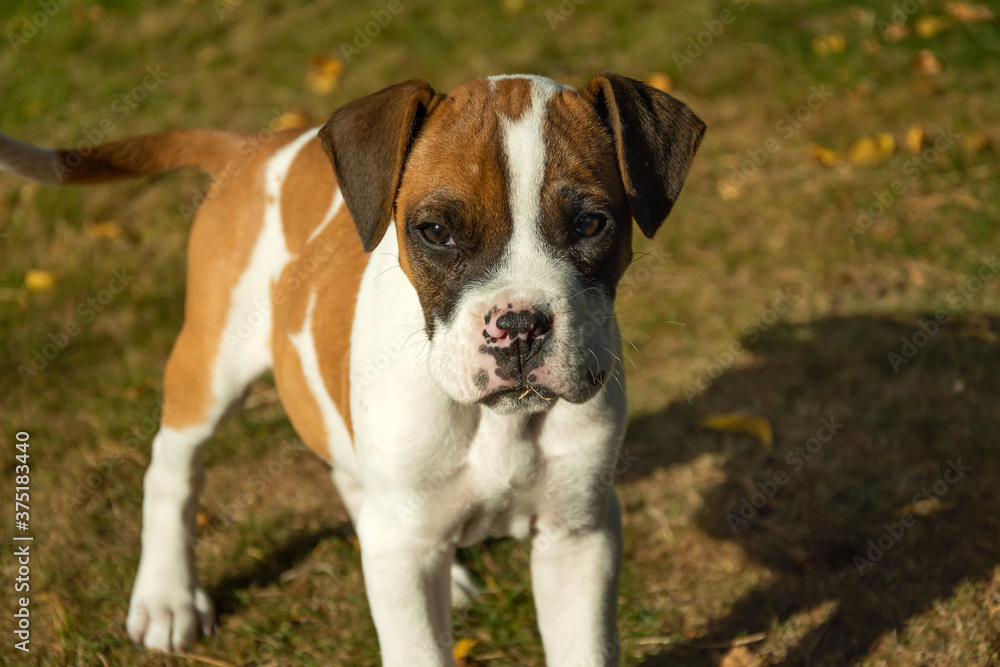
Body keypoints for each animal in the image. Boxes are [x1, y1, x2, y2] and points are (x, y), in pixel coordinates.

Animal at [0, 70, 704, 664]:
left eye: (590, 223)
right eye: (436, 232)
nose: (519, 326)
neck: (497, 424)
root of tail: (260, 148)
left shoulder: (578, 536)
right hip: (210, 363)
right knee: (173, 468)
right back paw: (166, 597)